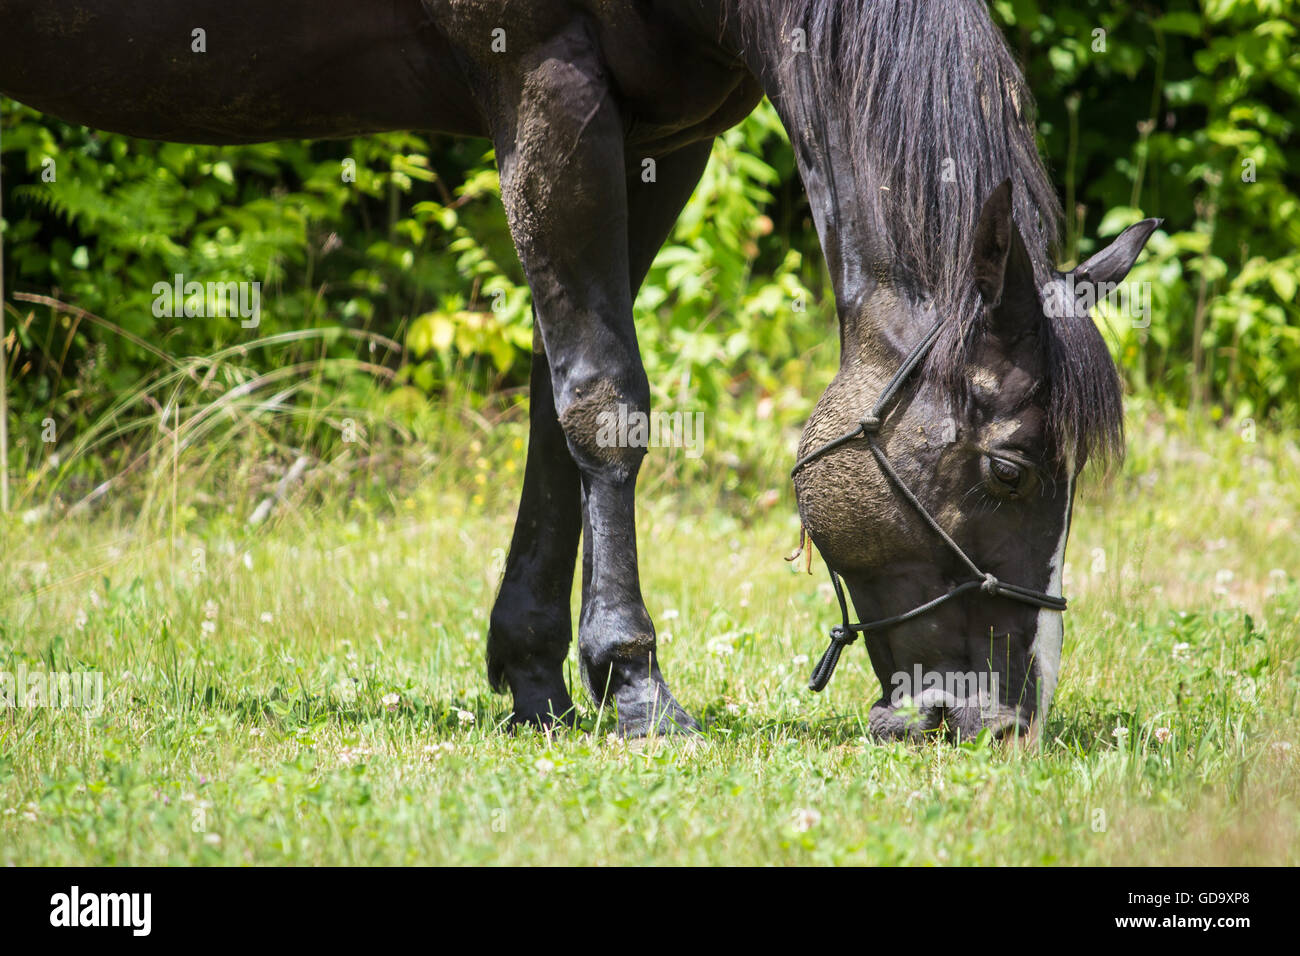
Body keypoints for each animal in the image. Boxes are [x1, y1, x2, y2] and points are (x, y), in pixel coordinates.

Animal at [0, 0, 1158, 739]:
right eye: (1009, 469)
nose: (1000, 720)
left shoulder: (661, 136)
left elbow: (556, 407)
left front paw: (537, 677)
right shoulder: (546, 85)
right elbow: (605, 401)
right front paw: (635, 683)